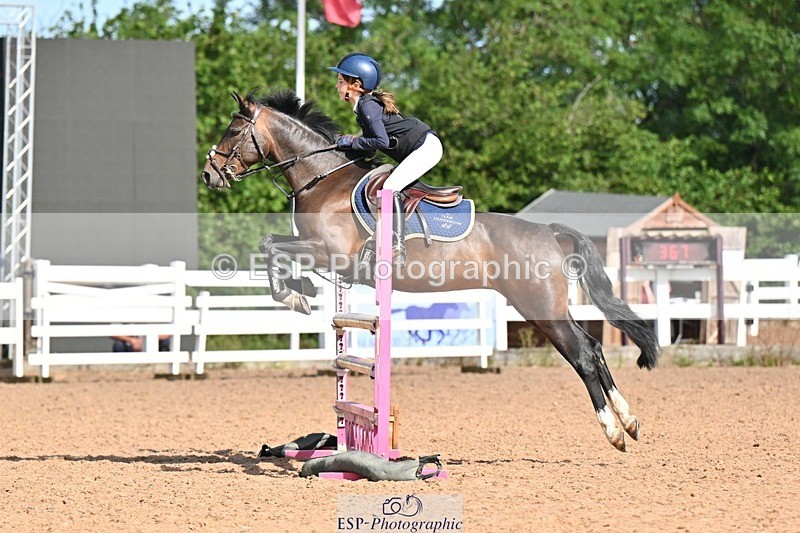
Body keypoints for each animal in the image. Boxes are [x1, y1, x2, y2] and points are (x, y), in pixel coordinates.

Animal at [201, 89, 660, 452]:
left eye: (233, 131)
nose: (209, 175)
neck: (322, 179)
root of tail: (549, 232)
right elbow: (272, 244)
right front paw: (302, 291)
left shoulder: (331, 255)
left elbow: (270, 245)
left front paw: (295, 293)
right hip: (548, 307)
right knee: (594, 348)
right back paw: (630, 421)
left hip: (540, 308)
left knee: (582, 354)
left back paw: (613, 431)